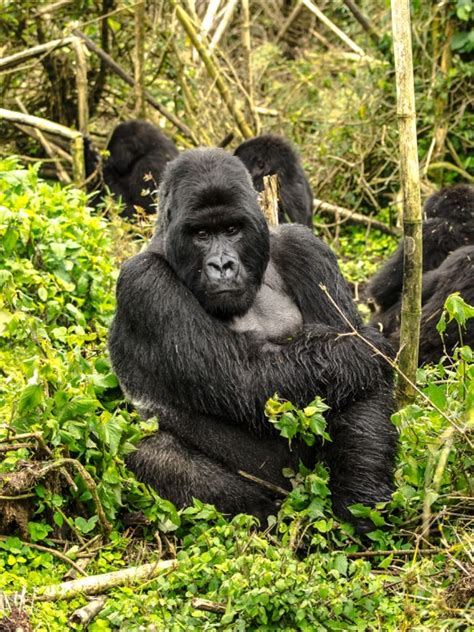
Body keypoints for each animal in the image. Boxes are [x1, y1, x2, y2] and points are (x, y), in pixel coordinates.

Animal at [108, 148, 396, 528]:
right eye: (201, 233)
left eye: (232, 229)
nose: (222, 265)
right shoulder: (143, 282)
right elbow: (243, 380)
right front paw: (362, 349)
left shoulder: (304, 247)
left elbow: (363, 389)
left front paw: (362, 496)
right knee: (151, 453)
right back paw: (263, 514)